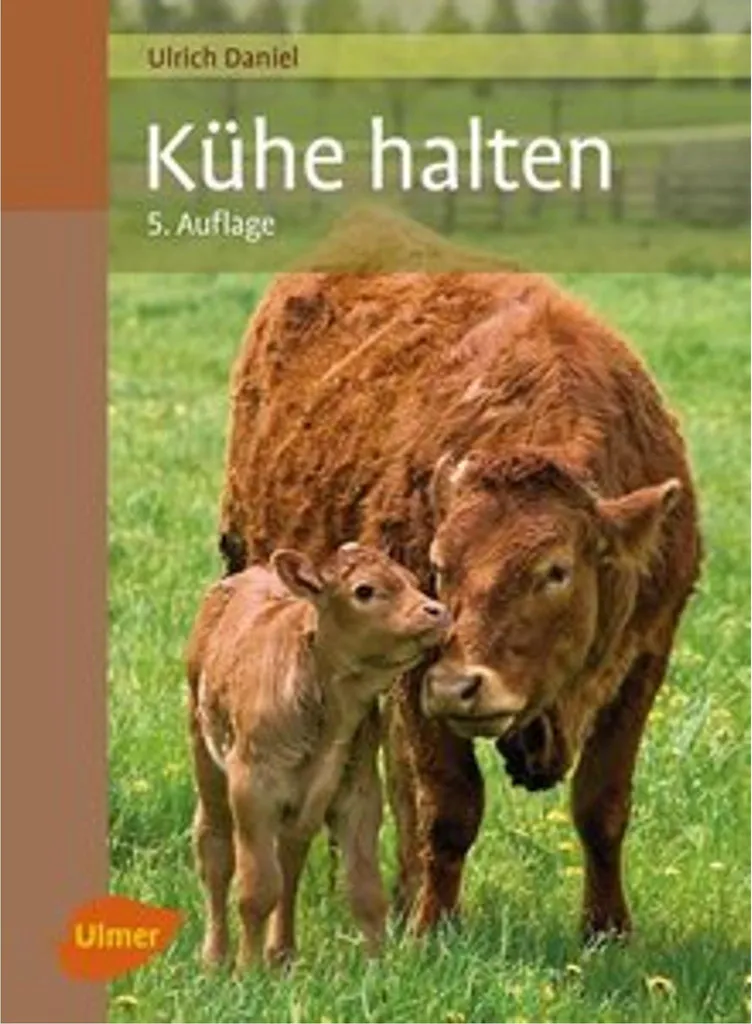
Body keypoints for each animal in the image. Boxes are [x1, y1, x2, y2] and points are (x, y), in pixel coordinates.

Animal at [185, 543, 449, 969]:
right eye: (364, 590)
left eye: (412, 580)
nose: (437, 611)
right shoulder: (252, 790)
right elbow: (258, 889)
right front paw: (247, 971)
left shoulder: (359, 793)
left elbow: (366, 892)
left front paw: (377, 969)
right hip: (204, 754)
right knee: (214, 847)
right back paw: (215, 958)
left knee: (290, 857)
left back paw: (282, 954)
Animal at [218, 220, 701, 943]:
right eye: (441, 565)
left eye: (556, 571)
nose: (459, 687)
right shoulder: (420, 672)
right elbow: (448, 805)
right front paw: (432, 928)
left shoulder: (644, 660)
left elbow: (602, 805)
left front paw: (608, 929)